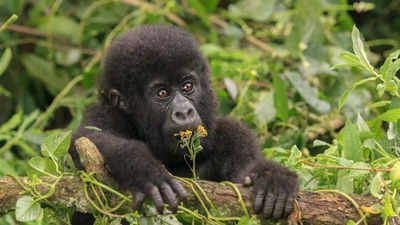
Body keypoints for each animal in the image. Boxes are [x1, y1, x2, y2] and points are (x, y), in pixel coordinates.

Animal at [70, 23, 298, 222]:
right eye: (162, 93)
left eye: (187, 86)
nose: (184, 111)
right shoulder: (105, 113)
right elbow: (87, 137)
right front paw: (144, 169)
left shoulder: (233, 133)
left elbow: (244, 175)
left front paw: (273, 178)